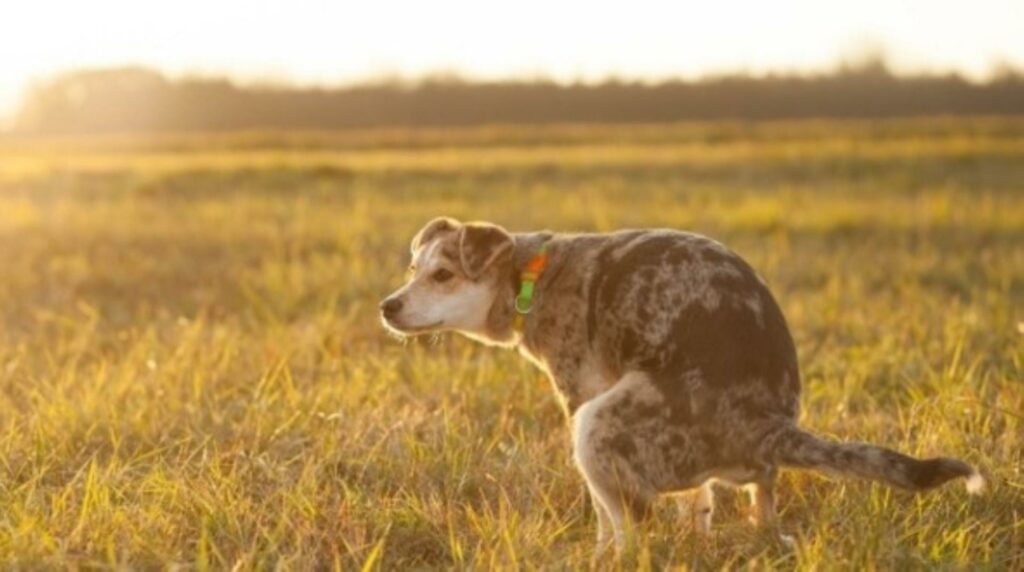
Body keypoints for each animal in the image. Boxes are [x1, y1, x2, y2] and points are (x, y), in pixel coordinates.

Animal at [378, 216, 983, 552]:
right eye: (412, 270)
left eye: (443, 275)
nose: (387, 306)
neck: (531, 275)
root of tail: (767, 425)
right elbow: (699, 503)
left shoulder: (580, 395)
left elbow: (606, 517)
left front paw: (599, 554)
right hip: (741, 472)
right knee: (762, 506)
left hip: (597, 424)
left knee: (633, 526)